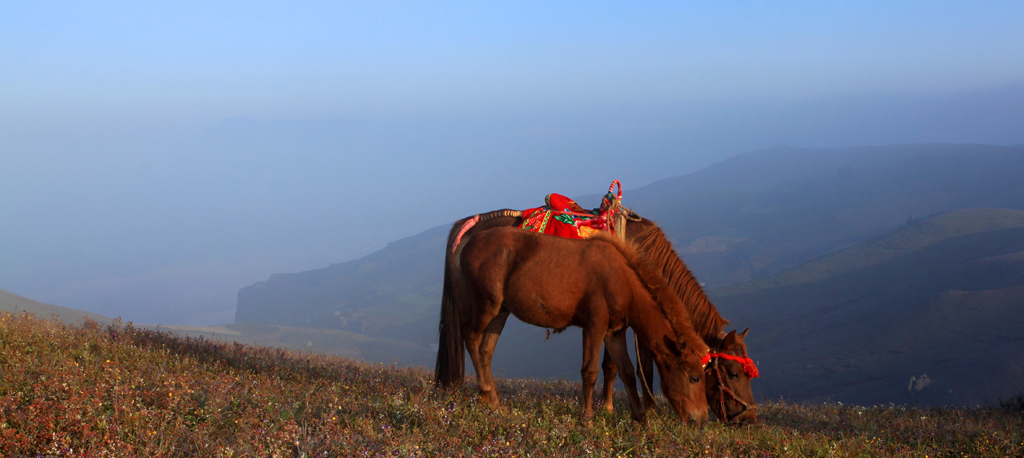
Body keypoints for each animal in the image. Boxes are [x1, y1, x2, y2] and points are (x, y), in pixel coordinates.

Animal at [434, 207, 761, 422]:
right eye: (731, 373)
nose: (748, 418)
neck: (626, 277)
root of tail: (468, 236)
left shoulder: (614, 330)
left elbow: (625, 369)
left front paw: (639, 416)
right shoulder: (596, 324)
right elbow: (597, 370)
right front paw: (592, 416)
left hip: (500, 311)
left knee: (486, 350)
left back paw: (494, 403)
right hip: (487, 305)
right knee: (470, 338)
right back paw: (485, 393)